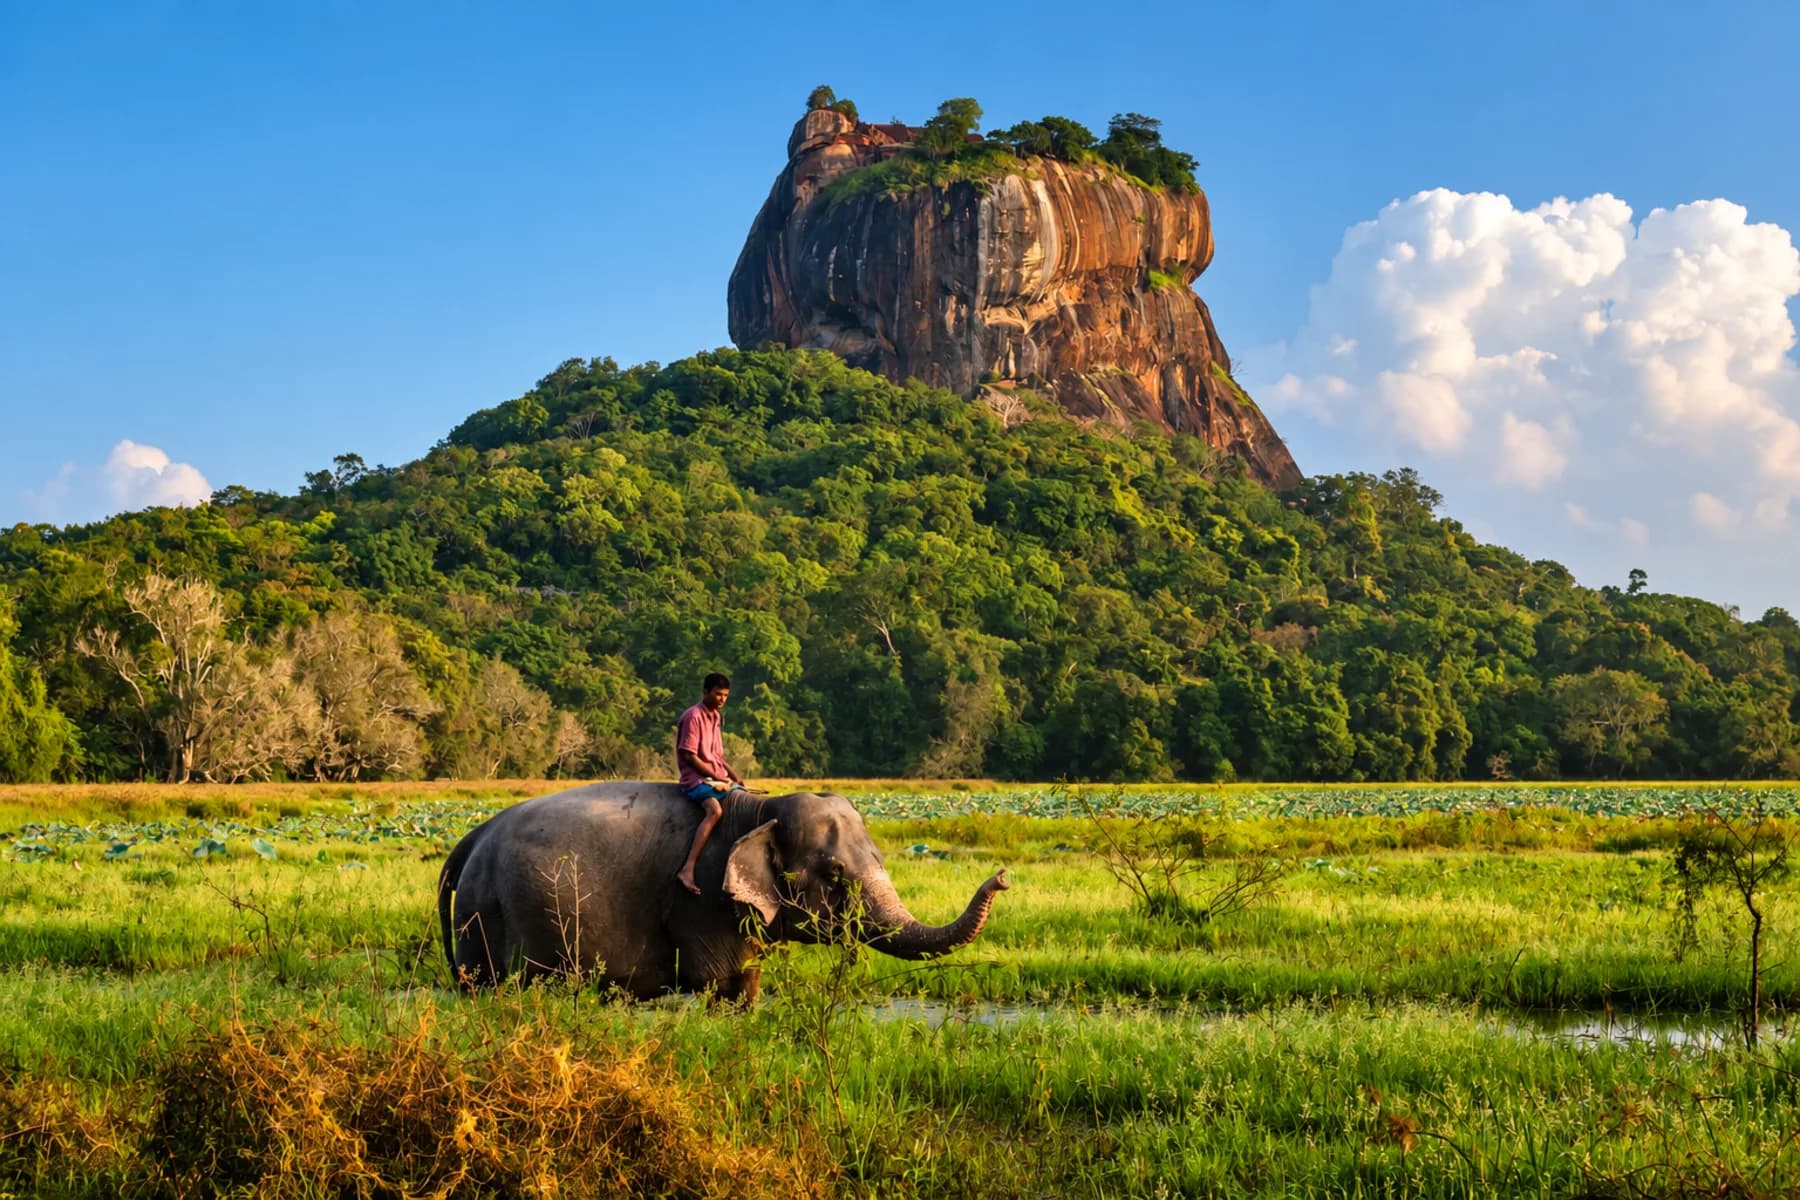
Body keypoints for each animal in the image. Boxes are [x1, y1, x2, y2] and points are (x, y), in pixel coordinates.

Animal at [437, 782, 1009, 1001]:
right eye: (835, 874)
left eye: (882, 861)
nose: (1002, 876)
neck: (759, 808)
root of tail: (471, 837)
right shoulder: (702, 901)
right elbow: (721, 982)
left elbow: (748, 979)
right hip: (483, 916)